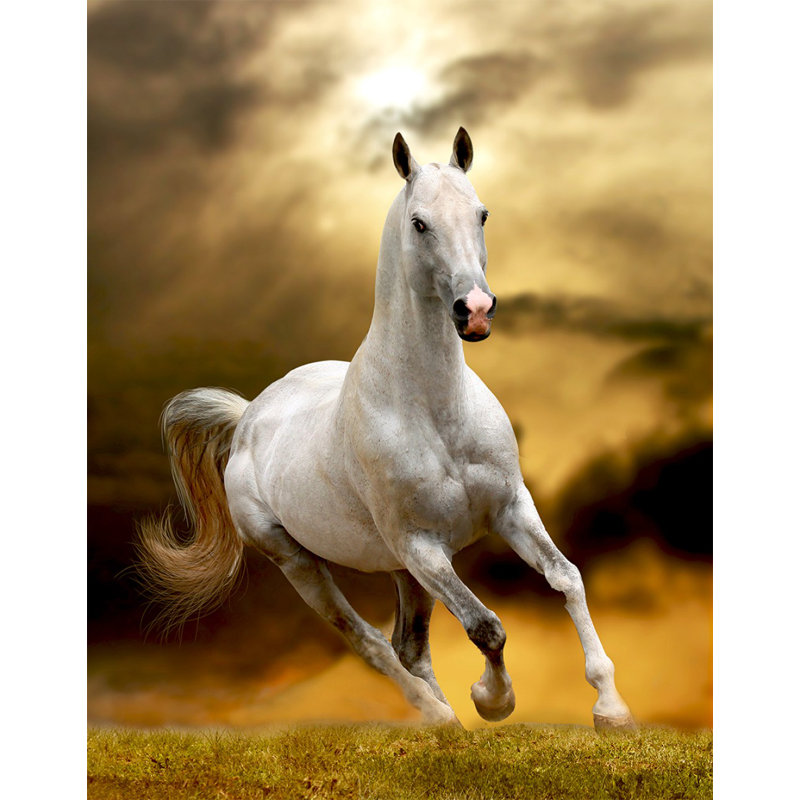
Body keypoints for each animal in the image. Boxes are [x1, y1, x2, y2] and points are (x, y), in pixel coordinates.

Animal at [137, 128, 635, 731]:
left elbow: (565, 577)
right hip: (302, 562)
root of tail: (249, 415)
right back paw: (439, 717)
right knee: (370, 644)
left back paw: (448, 723)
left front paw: (611, 709)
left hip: (402, 572)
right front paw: (493, 700)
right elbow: (485, 624)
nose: (475, 311)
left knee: (408, 648)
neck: (436, 415)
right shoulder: (422, 546)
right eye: (419, 223)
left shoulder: (510, 507)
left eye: (482, 214)